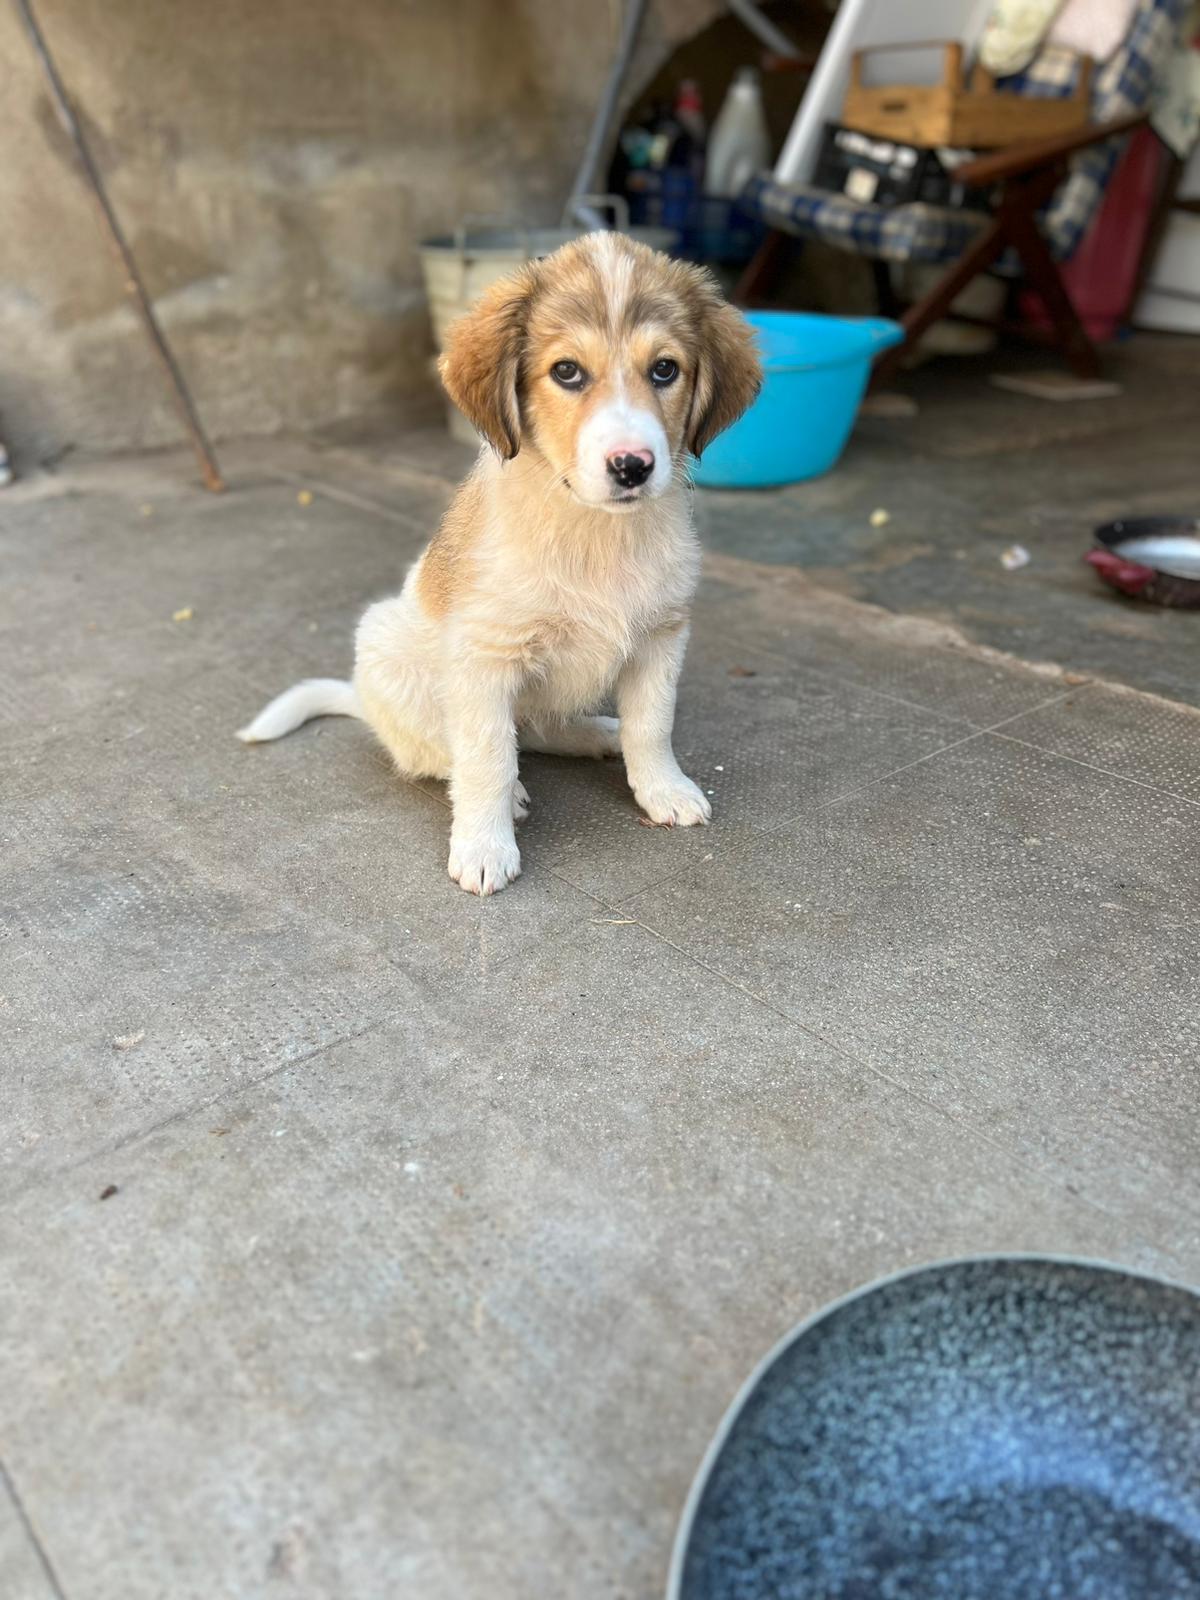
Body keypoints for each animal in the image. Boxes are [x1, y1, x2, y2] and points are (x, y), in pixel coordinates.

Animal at [238, 232, 761, 895]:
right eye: (566, 371)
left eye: (664, 369)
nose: (632, 466)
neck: (593, 530)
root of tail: (361, 700)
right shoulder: (486, 657)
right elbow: (486, 756)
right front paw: (485, 847)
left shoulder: (661, 636)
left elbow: (652, 725)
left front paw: (663, 790)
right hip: (384, 644)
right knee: (447, 753)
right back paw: (509, 794)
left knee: (540, 729)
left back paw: (598, 734)